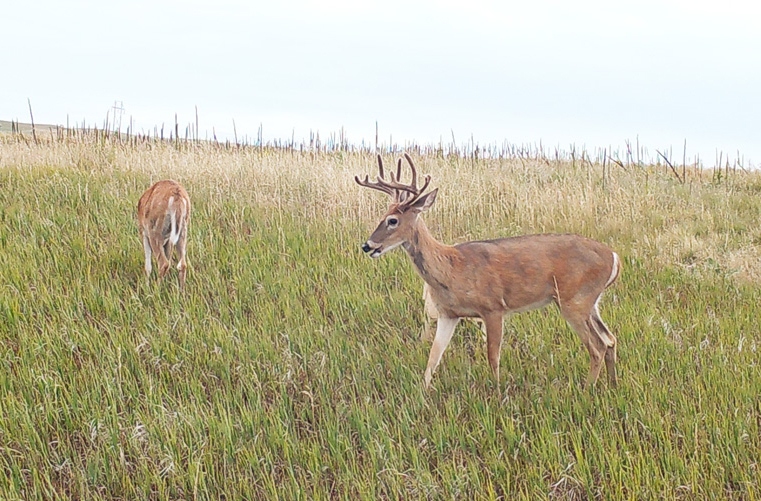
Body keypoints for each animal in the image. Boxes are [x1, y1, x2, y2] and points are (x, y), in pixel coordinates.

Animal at [356, 154, 621, 390]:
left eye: (392, 221)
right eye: (382, 216)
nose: (367, 245)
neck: (451, 270)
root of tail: (614, 257)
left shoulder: (493, 307)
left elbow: (493, 357)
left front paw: (497, 392)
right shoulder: (448, 314)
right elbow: (433, 358)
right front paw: (423, 394)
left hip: (574, 300)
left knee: (597, 346)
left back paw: (587, 390)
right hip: (590, 302)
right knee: (610, 339)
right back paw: (612, 386)